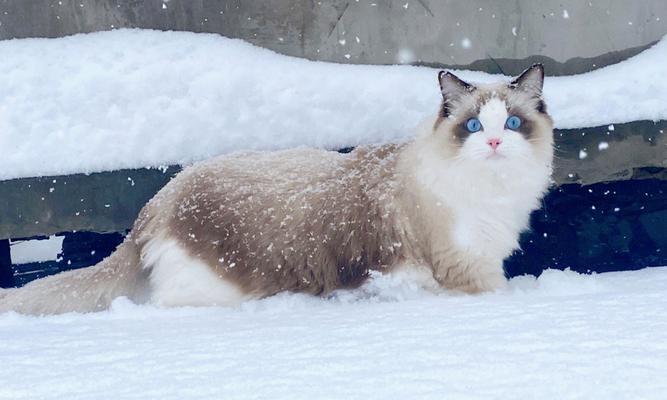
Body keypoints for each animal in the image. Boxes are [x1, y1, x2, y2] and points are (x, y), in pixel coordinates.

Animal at [0, 64, 552, 314]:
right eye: (474, 126)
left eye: (513, 123)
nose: (496, 142)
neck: (493, 193)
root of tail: (159, 199)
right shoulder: (469, 270)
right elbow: (503, 292)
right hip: (215, 289)